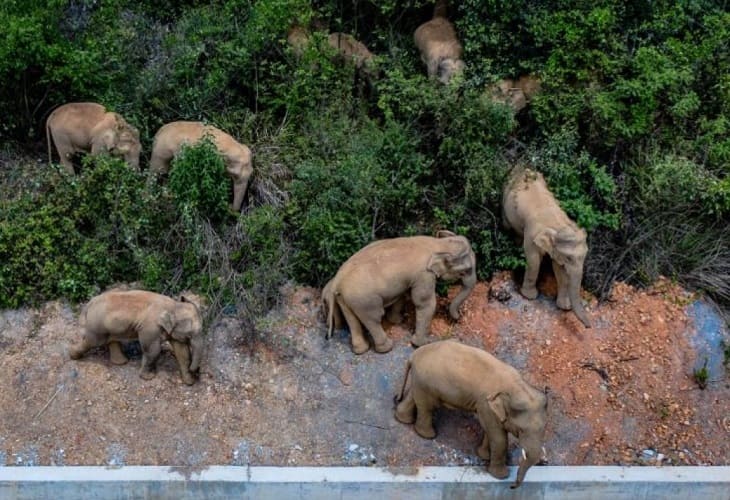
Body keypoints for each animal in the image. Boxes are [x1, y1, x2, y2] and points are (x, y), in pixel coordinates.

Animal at [69, 290, 203, 386]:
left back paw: (122, 362)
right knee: (92, 341)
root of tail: (89, 304)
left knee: (111, 340)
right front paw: (148, 378)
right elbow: (153, 350)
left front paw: (189, 382)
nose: (196, 372)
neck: (173, 305)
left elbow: (182, 352)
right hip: (97, 325)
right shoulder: (150, 328)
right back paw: (72, 356)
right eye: (190, 334)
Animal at [322, 229, 474, 352]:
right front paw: (423, 344)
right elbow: (425, 303)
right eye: (464, 271)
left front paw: (397, 321)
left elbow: (402, 295)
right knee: (374, 318)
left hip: (345, 298)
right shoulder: (423, 275)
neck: (438, 244)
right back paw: (387, 348)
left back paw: (360, 350)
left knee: (352, 319)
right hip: (364, 300)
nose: (458, 318)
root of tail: (337, 280)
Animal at [392, 340, 544, 488]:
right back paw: (428, 435)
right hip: (427, 382)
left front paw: (484, 456)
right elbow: (498, 438)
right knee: (427, 406)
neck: (517, 386)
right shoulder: (486, 404)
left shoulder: (488, 408)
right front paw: (501, 476)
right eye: (521, 430)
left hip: (421, 381)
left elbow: (490, 431)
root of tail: (414, 355)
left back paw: (403, 419)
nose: (512, 486)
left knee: (414, 396)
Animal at [500, 166, 592, 326]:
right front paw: (529, 296)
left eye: (584, 256)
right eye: (569, 258)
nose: (588, 327)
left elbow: (559, 269)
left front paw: (564, 306)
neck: (558, 225)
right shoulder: (531, 234)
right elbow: (534, 260)